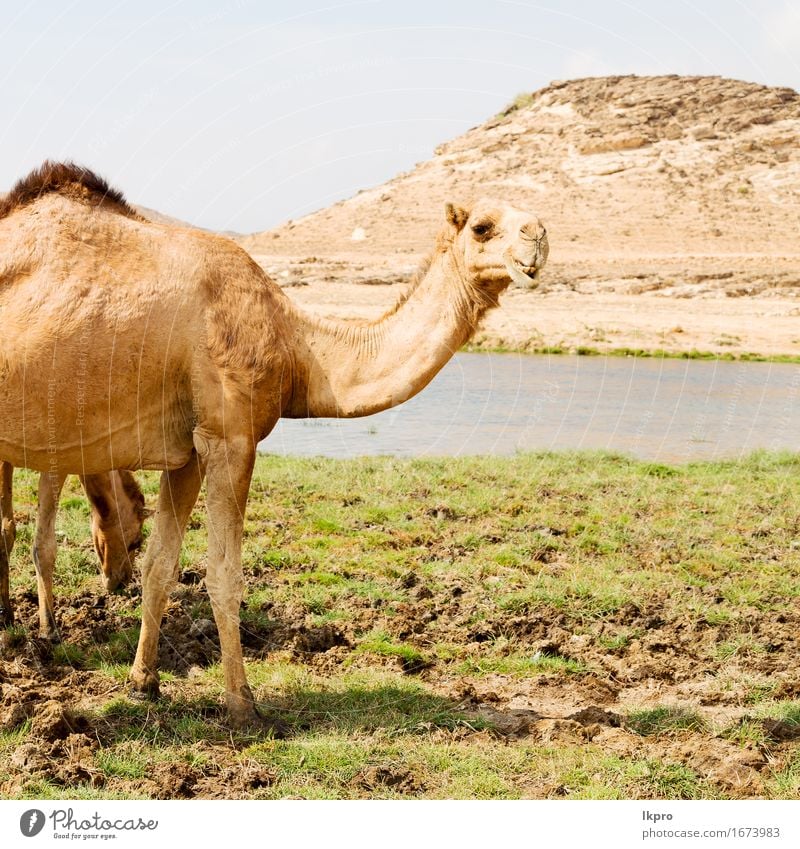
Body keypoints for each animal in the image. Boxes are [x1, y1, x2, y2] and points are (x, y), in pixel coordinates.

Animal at [0, 464, 146, 636]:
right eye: (136, 542)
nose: (124, 580)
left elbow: (6, 530)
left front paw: (5, 614)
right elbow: (44, 546)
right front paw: (48, 628)